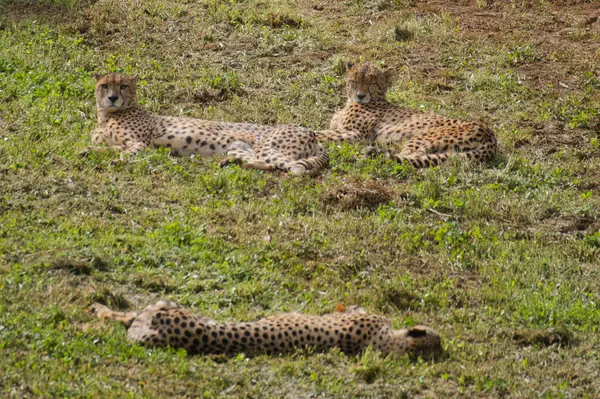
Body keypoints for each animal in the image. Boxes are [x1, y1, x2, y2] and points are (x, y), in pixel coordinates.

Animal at [89, 74, 328, 177]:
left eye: (124, 86)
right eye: (104, 86)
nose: (112, 98)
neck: (107, 115)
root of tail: (312, 133)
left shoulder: (141, 145)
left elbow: (125, 151)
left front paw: (114, 160)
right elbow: (106, 146)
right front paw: (88, 151)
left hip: (269, 147)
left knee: (293, 168)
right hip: (240, 146)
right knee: (268, 165)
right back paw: (233, 163)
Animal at [316, 62, 500, 167]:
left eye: (372, 83)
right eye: (354, 82)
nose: (360, 96)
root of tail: (489, 134)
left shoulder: (355, 133)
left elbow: (319, 134)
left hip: (422, 138)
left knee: (410, 158)